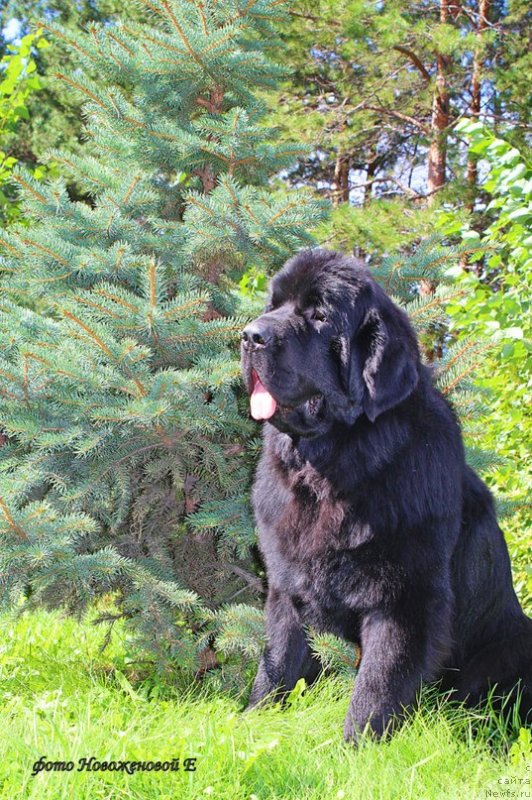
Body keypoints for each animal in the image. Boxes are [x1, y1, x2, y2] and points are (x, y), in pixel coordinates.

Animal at [240, 247, 532, 740]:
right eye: (273, 305)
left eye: (319, 315)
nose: (249, 335)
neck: (333, 467)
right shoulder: (287, 587)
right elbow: (276, 663)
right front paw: (251, 724)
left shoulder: (403, 600)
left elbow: (376, 685)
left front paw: (354, 748)